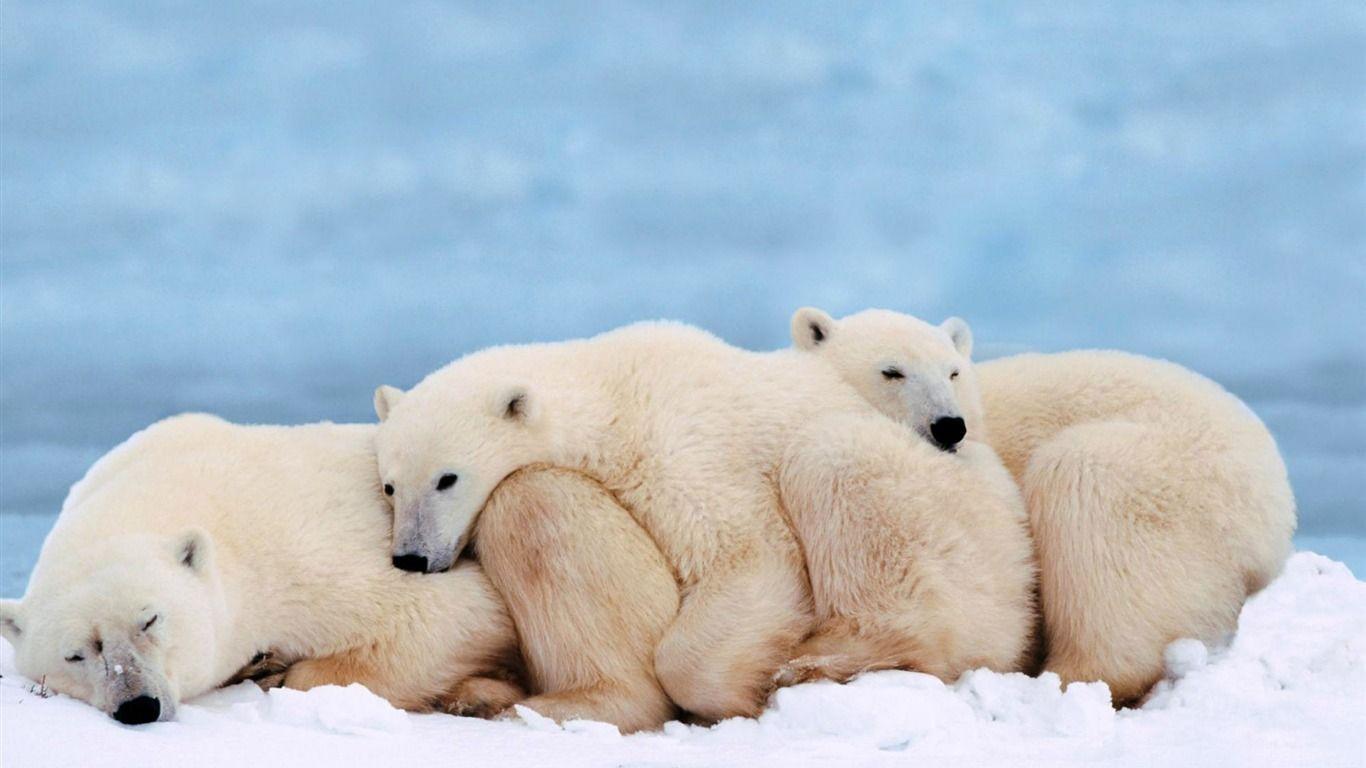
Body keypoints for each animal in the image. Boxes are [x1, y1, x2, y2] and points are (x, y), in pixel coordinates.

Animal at [0, 414, 680, 731]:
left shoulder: (302, 551)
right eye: (76, 654)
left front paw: (280, 670)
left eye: (150, 619)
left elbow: (448, 615)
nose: (137, 705)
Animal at [372, 320, 1037, 718]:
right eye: (390, 485)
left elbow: (748, 555)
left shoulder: (679, 447)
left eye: (447, 478)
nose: (412, 557)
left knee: (834, 461)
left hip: (950, 518)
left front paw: (739, 694)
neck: (611, 392)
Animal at [790, 306, 1297, 703]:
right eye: (891, 371)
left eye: (952, 371)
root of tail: (1277, 510)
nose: (950, 425)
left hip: (1173, 479)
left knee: (1085, 492)